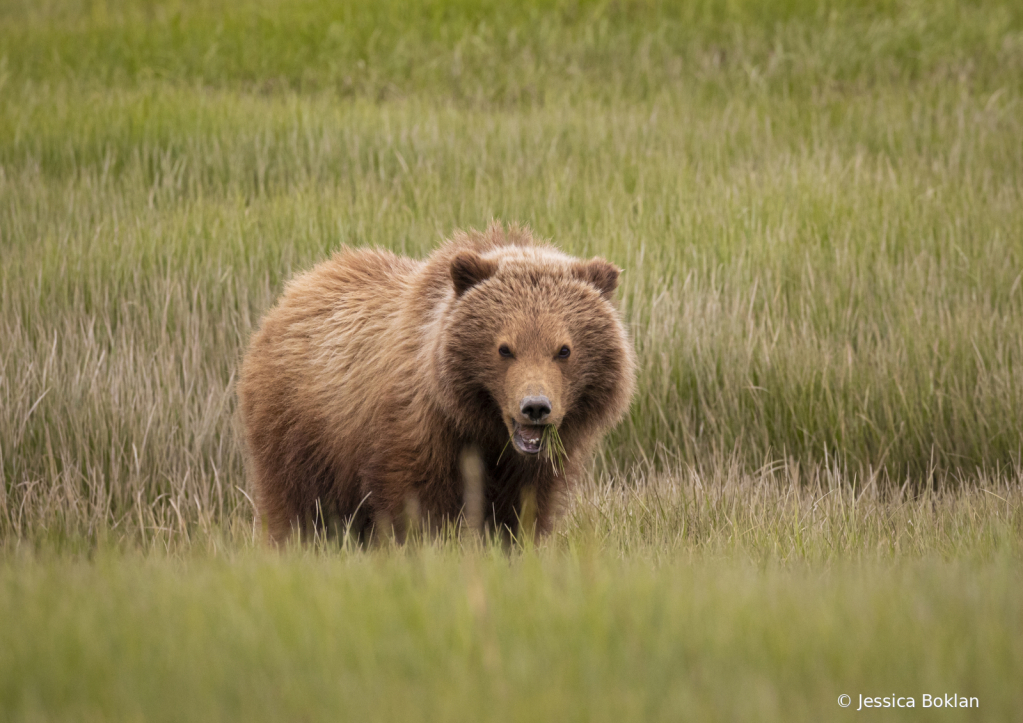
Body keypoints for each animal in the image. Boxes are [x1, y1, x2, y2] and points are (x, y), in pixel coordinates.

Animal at [239, 222, 634, 544]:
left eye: (564, 349)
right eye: (505, 348)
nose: (535, 406)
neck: (482, 426)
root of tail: (292, 292)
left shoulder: (532, 469)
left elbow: (523, 515)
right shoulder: (415, 434)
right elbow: (413, 510)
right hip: (300, 434)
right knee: (295, 508)